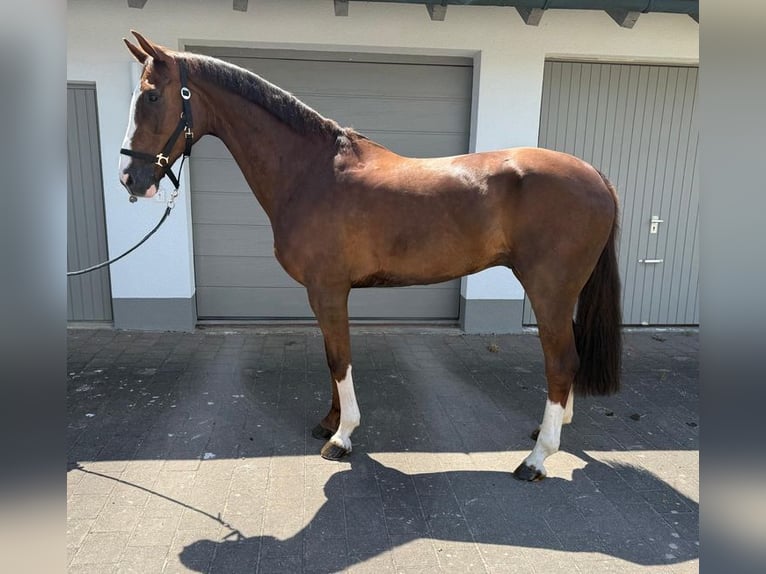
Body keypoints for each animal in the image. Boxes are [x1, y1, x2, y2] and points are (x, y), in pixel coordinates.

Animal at [118, 31, 622, 481]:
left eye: (152, 96)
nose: (130, 178)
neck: (311, 171)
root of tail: (596, 175)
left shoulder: (328, 290)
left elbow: (339, 359)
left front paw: (342, 437)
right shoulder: (324, 293)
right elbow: (331, 355)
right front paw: (329, 422)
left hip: (547, 288)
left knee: (561, 360)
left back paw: (537, 459)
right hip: (562, 292)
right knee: (568, 355)